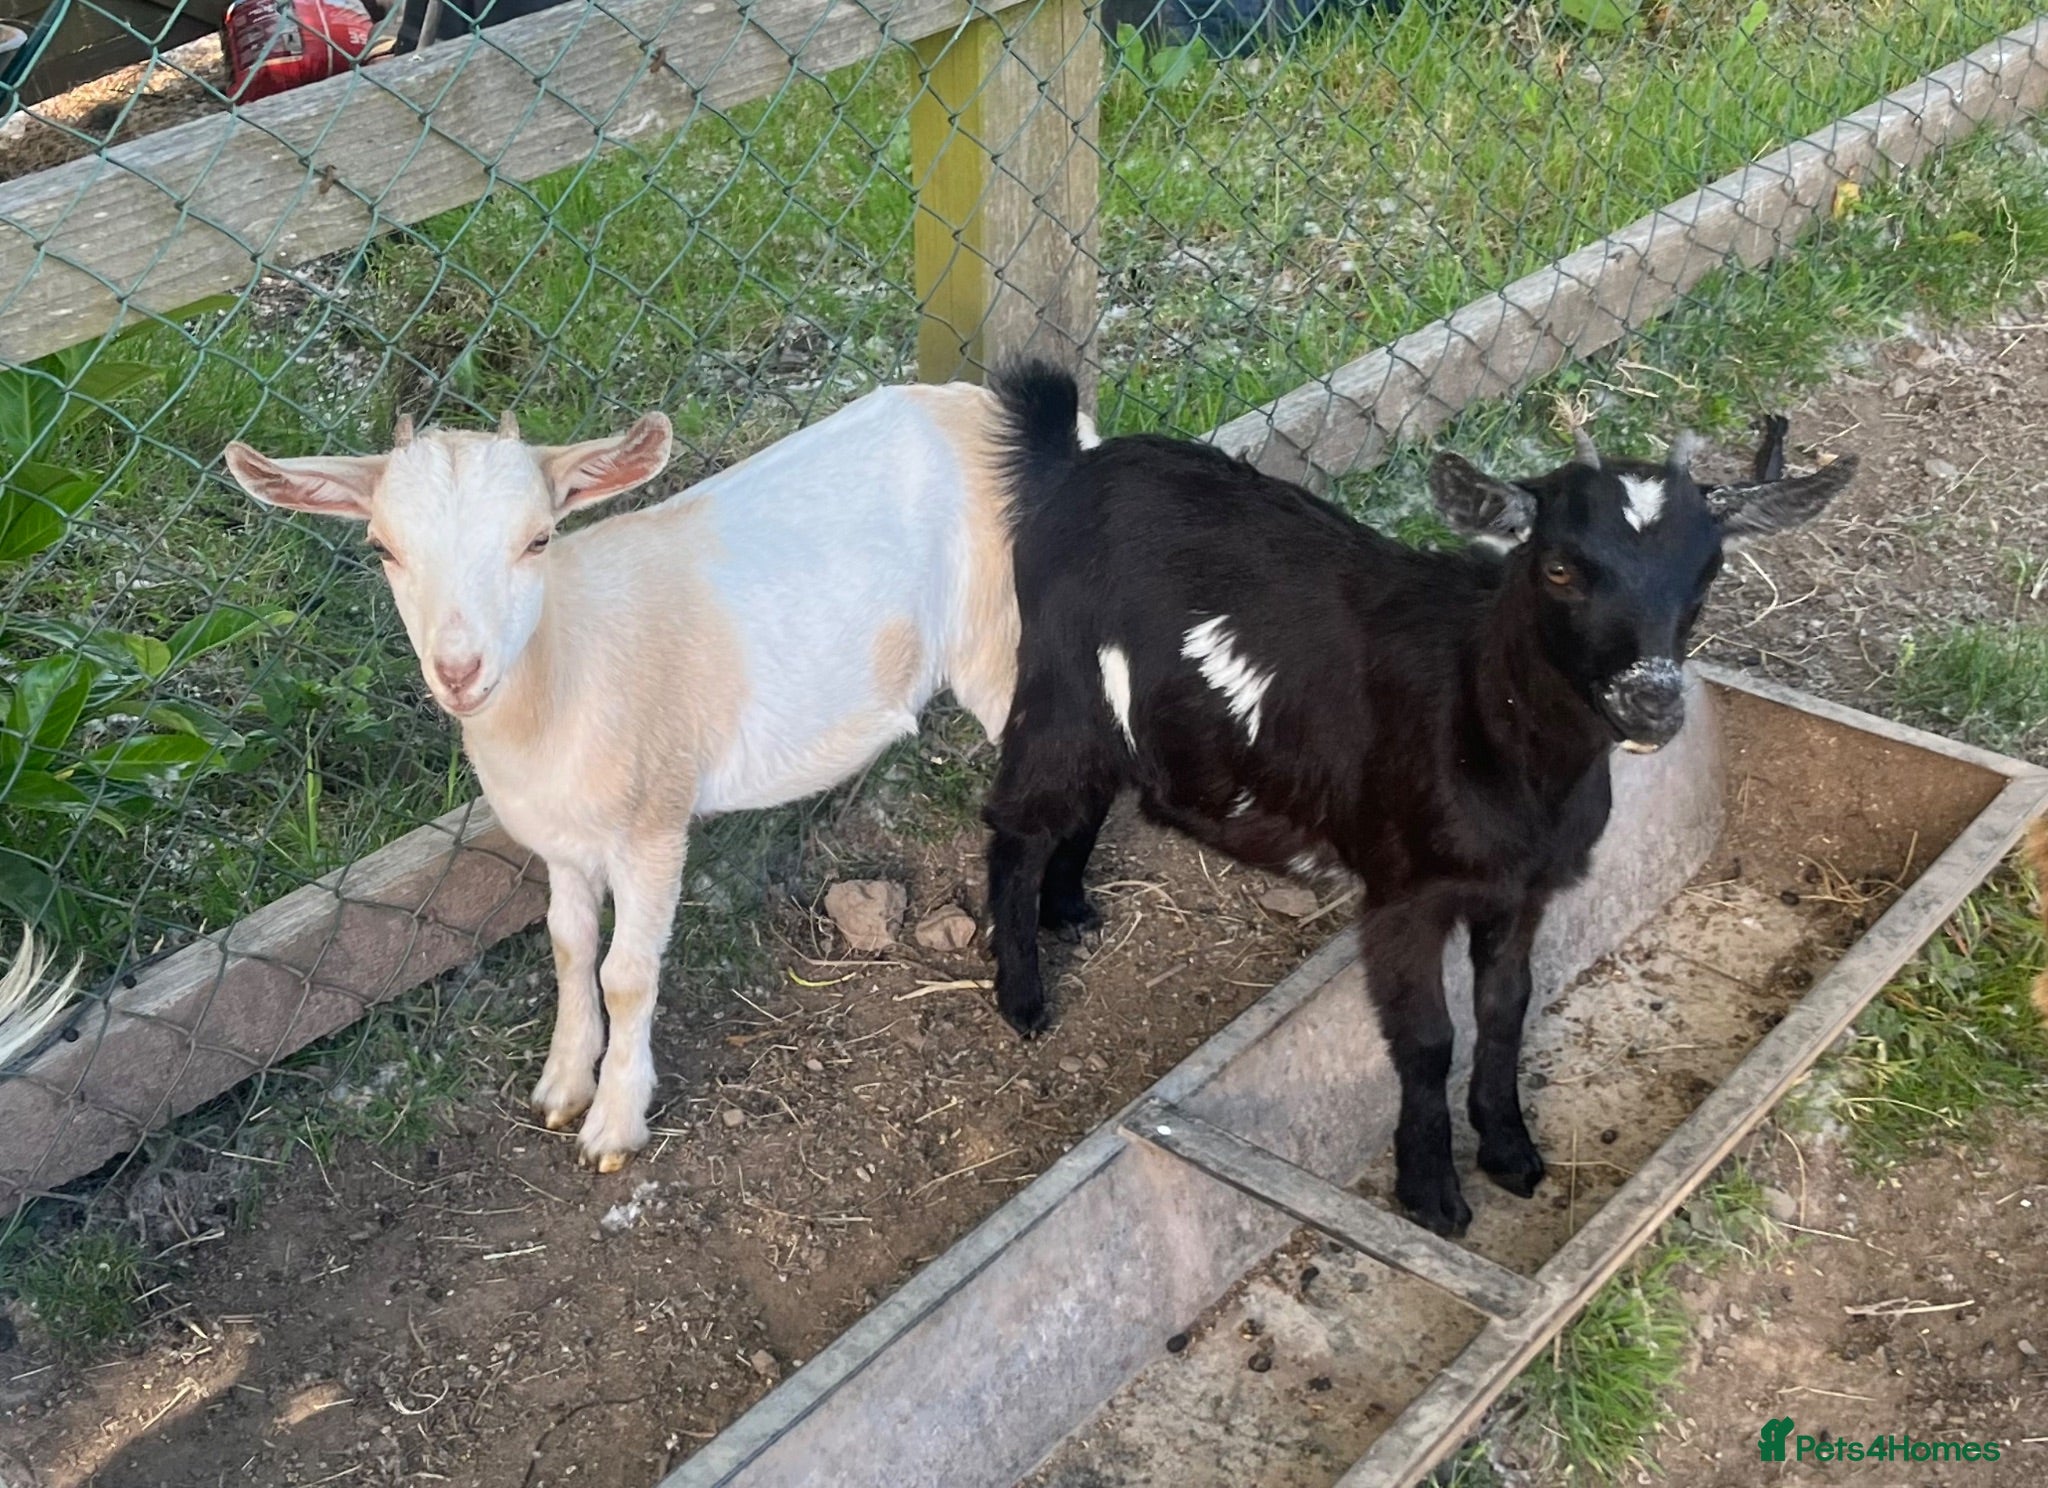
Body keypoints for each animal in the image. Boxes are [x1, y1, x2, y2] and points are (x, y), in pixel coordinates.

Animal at [226, 383, 1093, 1171]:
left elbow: (626, 974)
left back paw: (1031, 970)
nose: (460, 671)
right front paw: (563, 1083)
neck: (566, 664)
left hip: (1001, 646)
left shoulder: (652, 825)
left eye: (538, 539)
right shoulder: (563, 839)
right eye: (383, 547)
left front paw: (614, 1122)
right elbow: (569, 945)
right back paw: (1067, 910)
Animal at [981, 361, 1855, 1235]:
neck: (1486, 722)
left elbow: (1506, 1006)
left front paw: (1510, 1150)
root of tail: (1073, 466)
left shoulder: (1524, 889)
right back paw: (1022, 996)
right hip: (1056, 683)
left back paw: (1070, 908)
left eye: (1708, 576)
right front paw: (1432, 1190)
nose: (1652, 703)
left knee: (1090, 796)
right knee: (1018, 824)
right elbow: (1428, 1038)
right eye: (1559, 568)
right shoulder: (1404, 894)